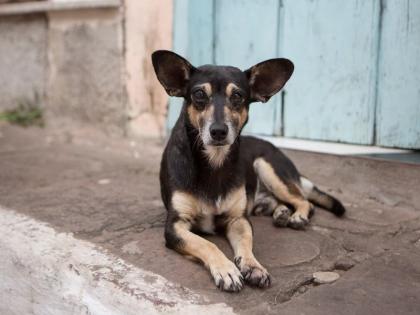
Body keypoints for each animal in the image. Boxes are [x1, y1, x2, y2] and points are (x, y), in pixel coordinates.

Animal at [151, 50, 344, 294]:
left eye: (238, 96)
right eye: (199, 94)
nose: (218, 131)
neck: (214, 163)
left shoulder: (238, 220)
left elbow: (246, 243)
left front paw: (253, 266)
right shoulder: (175, 226)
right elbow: (207, 243)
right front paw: (227, 270)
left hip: (267, 167)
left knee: (304, 201)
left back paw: (296, 216)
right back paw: (281, 213)